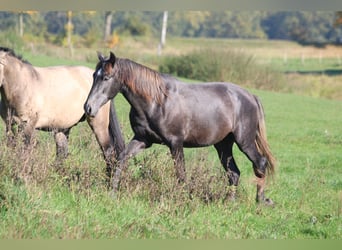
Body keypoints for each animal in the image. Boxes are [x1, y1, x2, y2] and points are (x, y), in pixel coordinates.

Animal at [84, 51, 276, 204]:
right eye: (94, 75)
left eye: (106, 78)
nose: (88, 108)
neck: (157, 101)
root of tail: (250, 96)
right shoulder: (142, 140)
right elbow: (121, 159)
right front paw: (112, 192)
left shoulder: (175, 143)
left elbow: (181, 173)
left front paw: (184, 199)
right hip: (223, 145)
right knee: (234, 173)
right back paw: (229, 202)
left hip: (244, 142)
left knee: (260, 163)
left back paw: (261, 201)